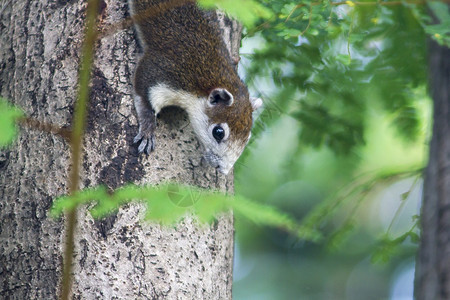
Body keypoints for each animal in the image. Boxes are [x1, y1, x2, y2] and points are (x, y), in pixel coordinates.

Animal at [126, 0, 262, 175]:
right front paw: (148, 129)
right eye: (218, 132)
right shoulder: (164, 72)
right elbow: (144, 93)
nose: (223, 170)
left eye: (247, 137)